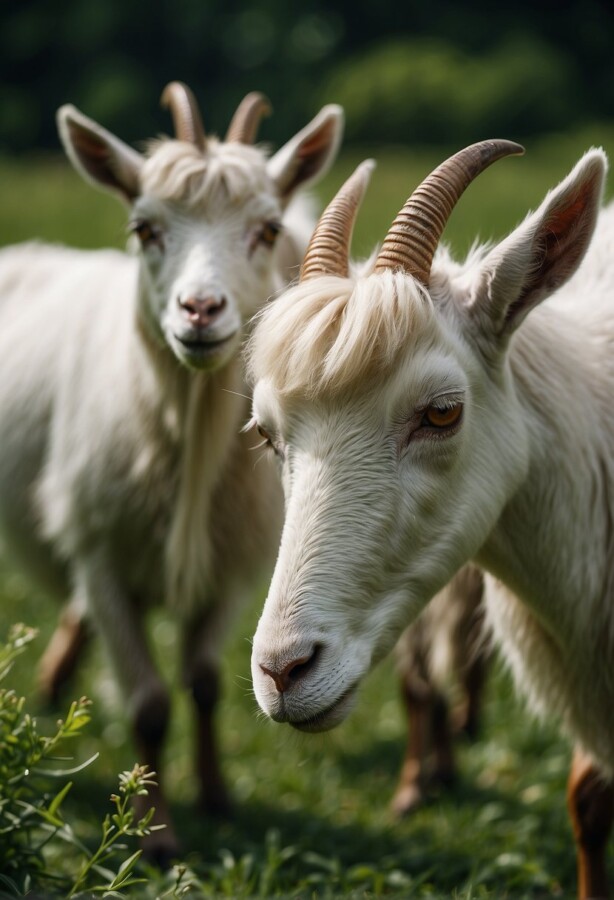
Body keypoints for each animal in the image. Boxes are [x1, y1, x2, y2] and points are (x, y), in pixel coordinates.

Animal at [0, 84, 344, 864]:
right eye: (144, 228)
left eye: (267, 228)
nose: (200, 309)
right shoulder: (100, 557)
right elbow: (149, 704)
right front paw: (155, 834)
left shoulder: (232, 564)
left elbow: (206, 682)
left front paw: (216, 797)